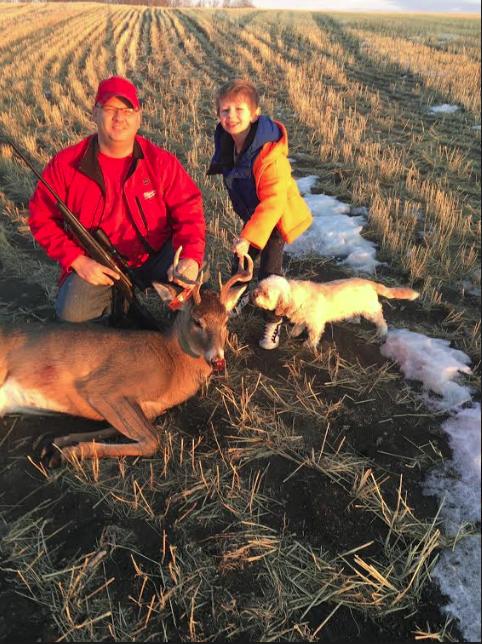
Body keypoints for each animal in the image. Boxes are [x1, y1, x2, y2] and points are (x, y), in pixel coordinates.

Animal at [0, 250, 253, 466]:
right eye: (197, 320)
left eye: (225, 321)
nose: (218, 360)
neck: (172, 364)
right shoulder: (103, 388)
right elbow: (152, 440)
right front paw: (68, 452)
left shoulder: (148, 408)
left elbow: (117, 429)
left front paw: (56, 443)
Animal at [252, 275, 419, 350]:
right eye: (259, 286)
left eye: (266, 294)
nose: (254, 293)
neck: (296, 295)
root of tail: (370, 283)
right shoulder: (304, 317)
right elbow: (300, 325)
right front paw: (295, 332)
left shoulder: (316, 323)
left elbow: (313, 335)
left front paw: (308, 344)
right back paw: (353, 319)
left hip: (371, 310)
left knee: (381, 320)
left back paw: (381, 332)